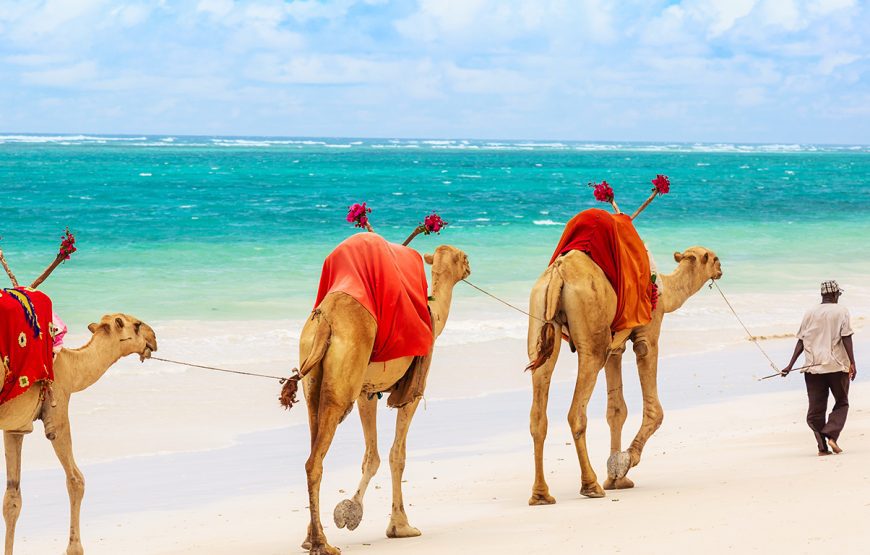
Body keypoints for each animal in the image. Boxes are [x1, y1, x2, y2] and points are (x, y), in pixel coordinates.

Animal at [0, 314, 157, 552]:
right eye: (137, 325)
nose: (154, 339)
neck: (70, 366)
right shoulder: (57, 410)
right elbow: (76, 479)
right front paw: (75, 549)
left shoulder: (15, 426)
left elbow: (12, 498)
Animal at [292, 243, 470, 555]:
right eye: (463, 257)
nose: (471, 265)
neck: (433, 315)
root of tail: (326, 320)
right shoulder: (410, 393)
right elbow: (396, 455)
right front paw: (400, 526)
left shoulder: (367, 392)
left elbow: (371, 456)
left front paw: (350, 512)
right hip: (342, 385)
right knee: (315, 460)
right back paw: (322, 544)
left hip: (313, 377)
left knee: (313, 448)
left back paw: (312, 537)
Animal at [528, 248, 724, 504]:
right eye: (713, 257)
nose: (720, 269)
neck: (665, 291)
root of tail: (559, 272)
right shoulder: (648, 332)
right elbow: (654, 410)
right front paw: (625, 462)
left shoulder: (615, 348)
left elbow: (616, 411)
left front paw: (615, 479)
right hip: (592, 338)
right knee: (576, 412)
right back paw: (590, 486)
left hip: (540, 317)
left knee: (538, 410)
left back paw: (541, 495)